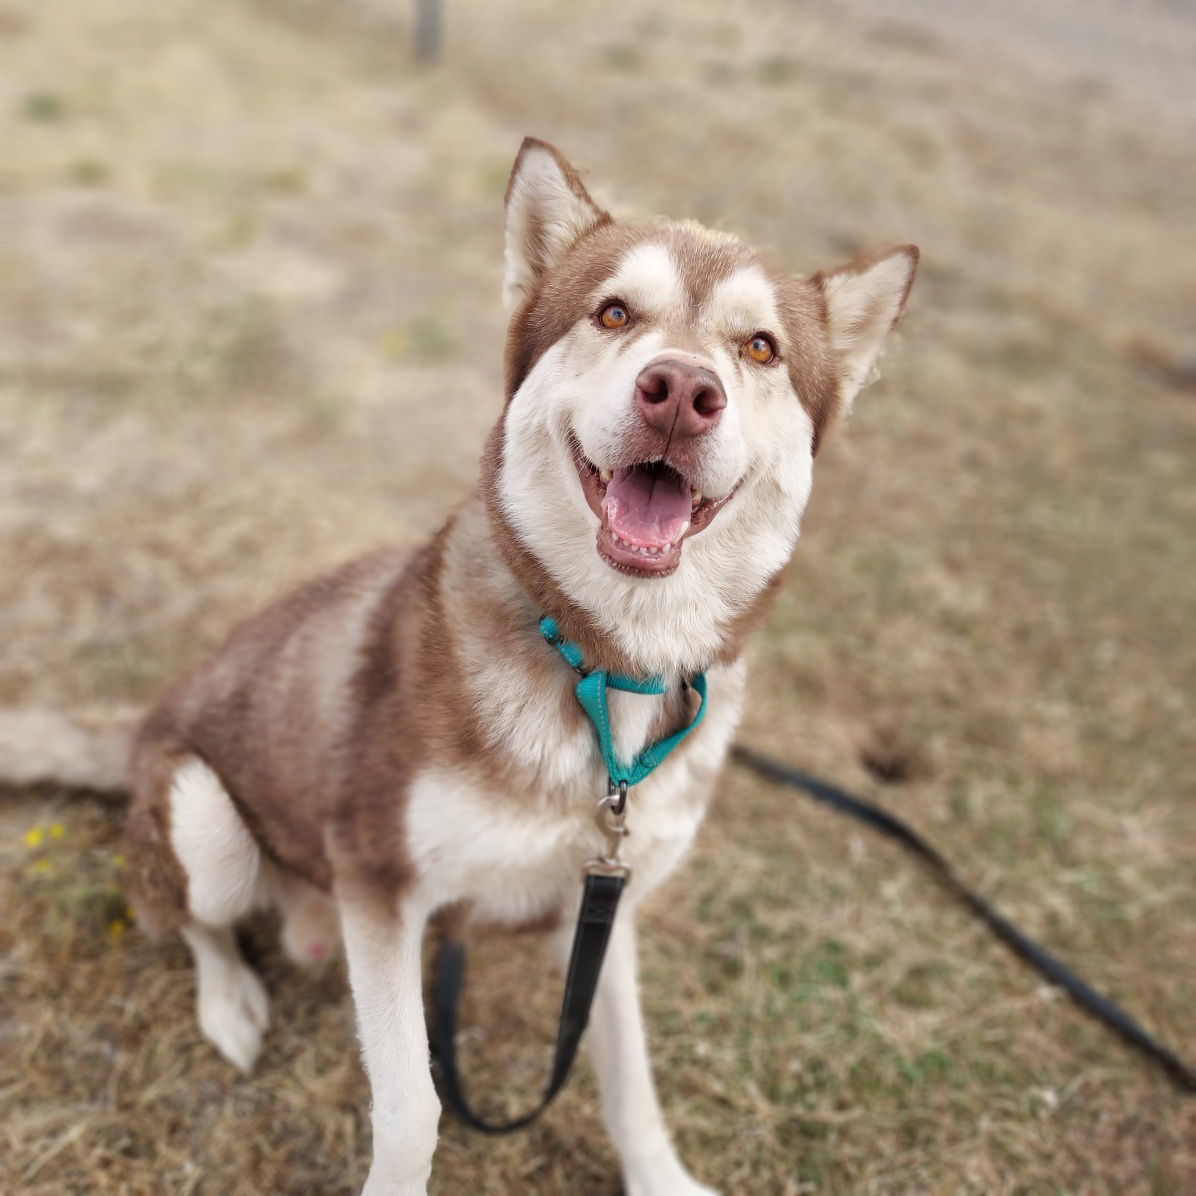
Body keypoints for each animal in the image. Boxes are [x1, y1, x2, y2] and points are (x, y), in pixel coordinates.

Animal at [7, 135, 913, 1191]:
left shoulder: (605, 904)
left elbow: (630, 1077)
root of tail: (143, 722)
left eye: (761, 348)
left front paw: (660, 1176)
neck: (608, 668)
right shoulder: (378, 881)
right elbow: (413, 1107)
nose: (684, 393)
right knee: (193, 922)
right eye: (614, 312)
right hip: (203, 820)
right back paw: (228, 1000)